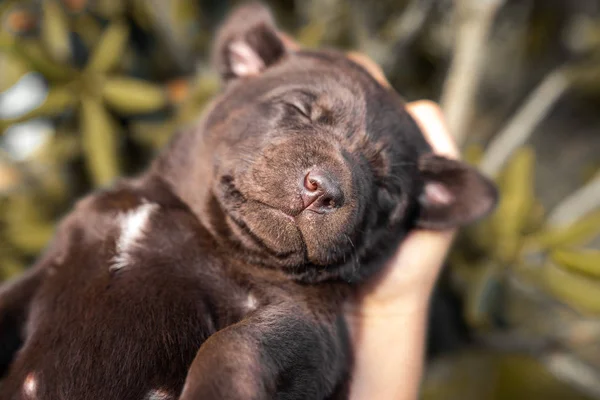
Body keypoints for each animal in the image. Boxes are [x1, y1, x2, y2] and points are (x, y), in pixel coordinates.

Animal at [0, 3, 496, 400]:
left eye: (388, 190)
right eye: (299, 109)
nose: (326, 188)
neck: (206, 228)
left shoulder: (308, 328)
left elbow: (230, 345)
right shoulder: (49, 266)